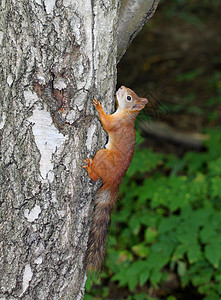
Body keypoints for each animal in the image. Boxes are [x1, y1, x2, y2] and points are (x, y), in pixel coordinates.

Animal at [83, 85, 148, 270]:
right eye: (130, 92)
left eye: (128, 97)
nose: (121, 87)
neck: (127, 116)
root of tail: (115, 181)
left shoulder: (115, 124)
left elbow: (106, 122)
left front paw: (98, 106)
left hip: (103, 156)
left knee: (95, 174)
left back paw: (89, 167)